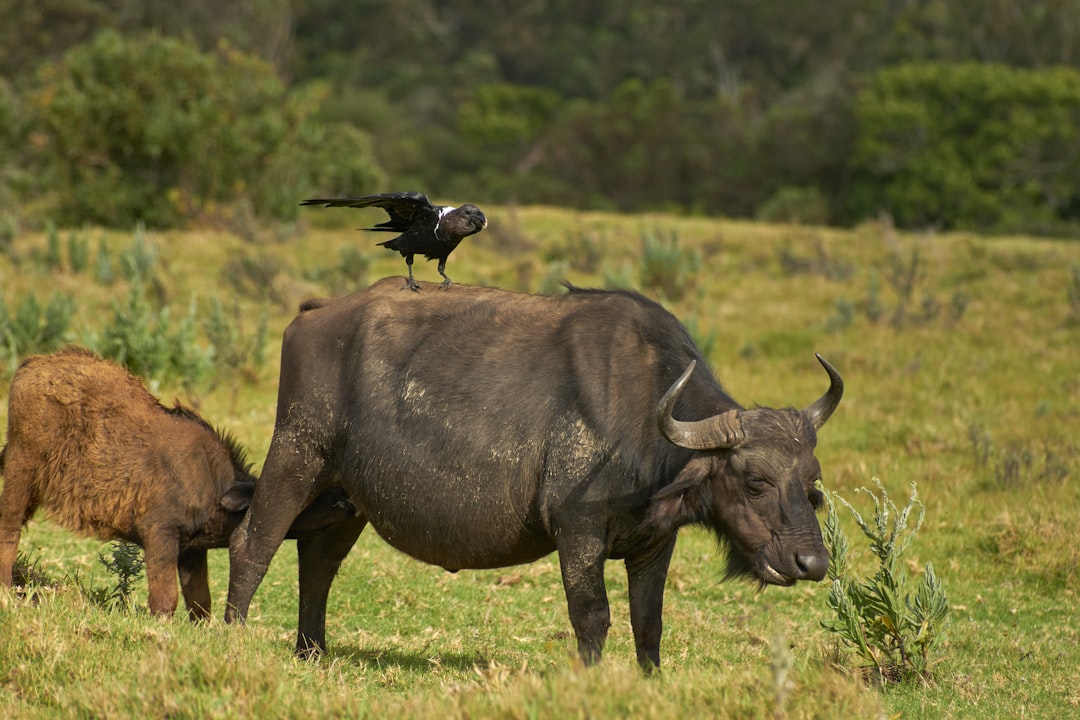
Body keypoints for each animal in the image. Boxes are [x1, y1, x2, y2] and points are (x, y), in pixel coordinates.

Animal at [227, 280, 846, 669]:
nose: (812, 563)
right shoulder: (578, 534)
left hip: (345, 497)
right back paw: (230, 637)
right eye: (755, 480)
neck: (641, 412)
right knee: (253, 543)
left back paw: (312, 651)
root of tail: (314, 312)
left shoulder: (655, 544)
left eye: (811, 485)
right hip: (296, 455)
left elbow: (648, 621)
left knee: (318, 563)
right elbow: (592, 617)